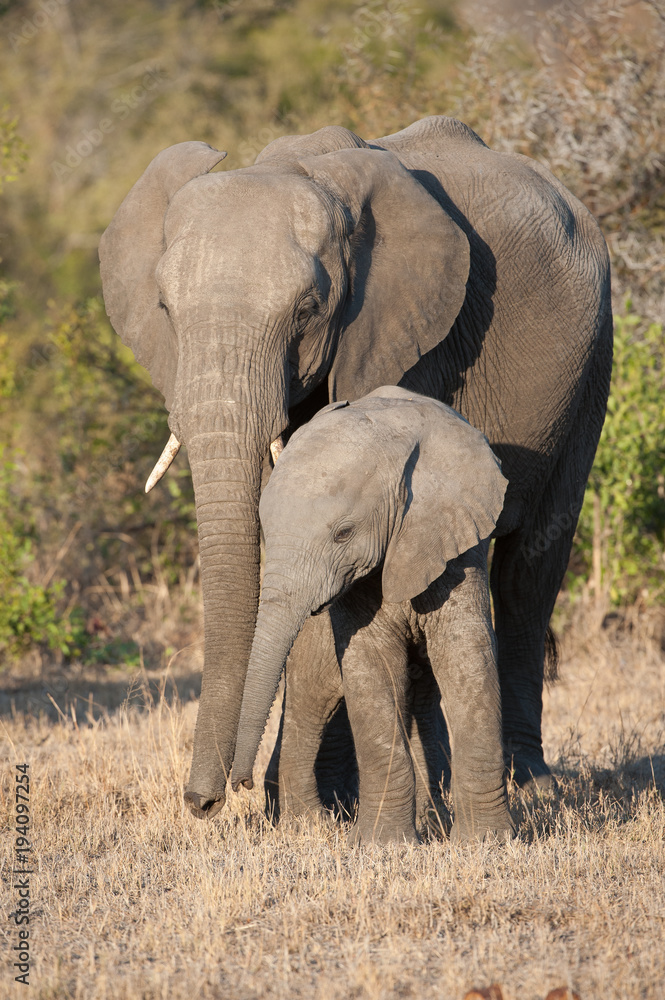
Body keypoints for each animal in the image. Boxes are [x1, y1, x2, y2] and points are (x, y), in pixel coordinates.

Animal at [231, 386, 515, 845]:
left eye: (343, 533)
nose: (240, 784)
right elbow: (373, 670)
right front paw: (384, 845)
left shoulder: (455, 538)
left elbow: (466, 658)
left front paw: (485, 843)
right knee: (313, 698)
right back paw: (308, 826)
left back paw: (431, 822)